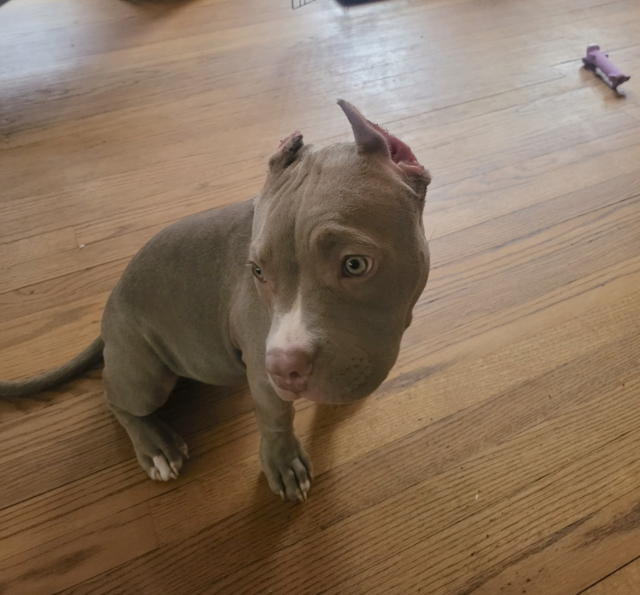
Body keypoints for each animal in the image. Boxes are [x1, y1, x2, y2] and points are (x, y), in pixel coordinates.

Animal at [0, 101, 432, 502]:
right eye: (257, 272)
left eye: (355, 264)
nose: (282, 368)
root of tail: (111, 306)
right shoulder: (261, 373)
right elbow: (276, 417)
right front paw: (283, 462)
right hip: (145, 374)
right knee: (117, 399)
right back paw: (156, 446)